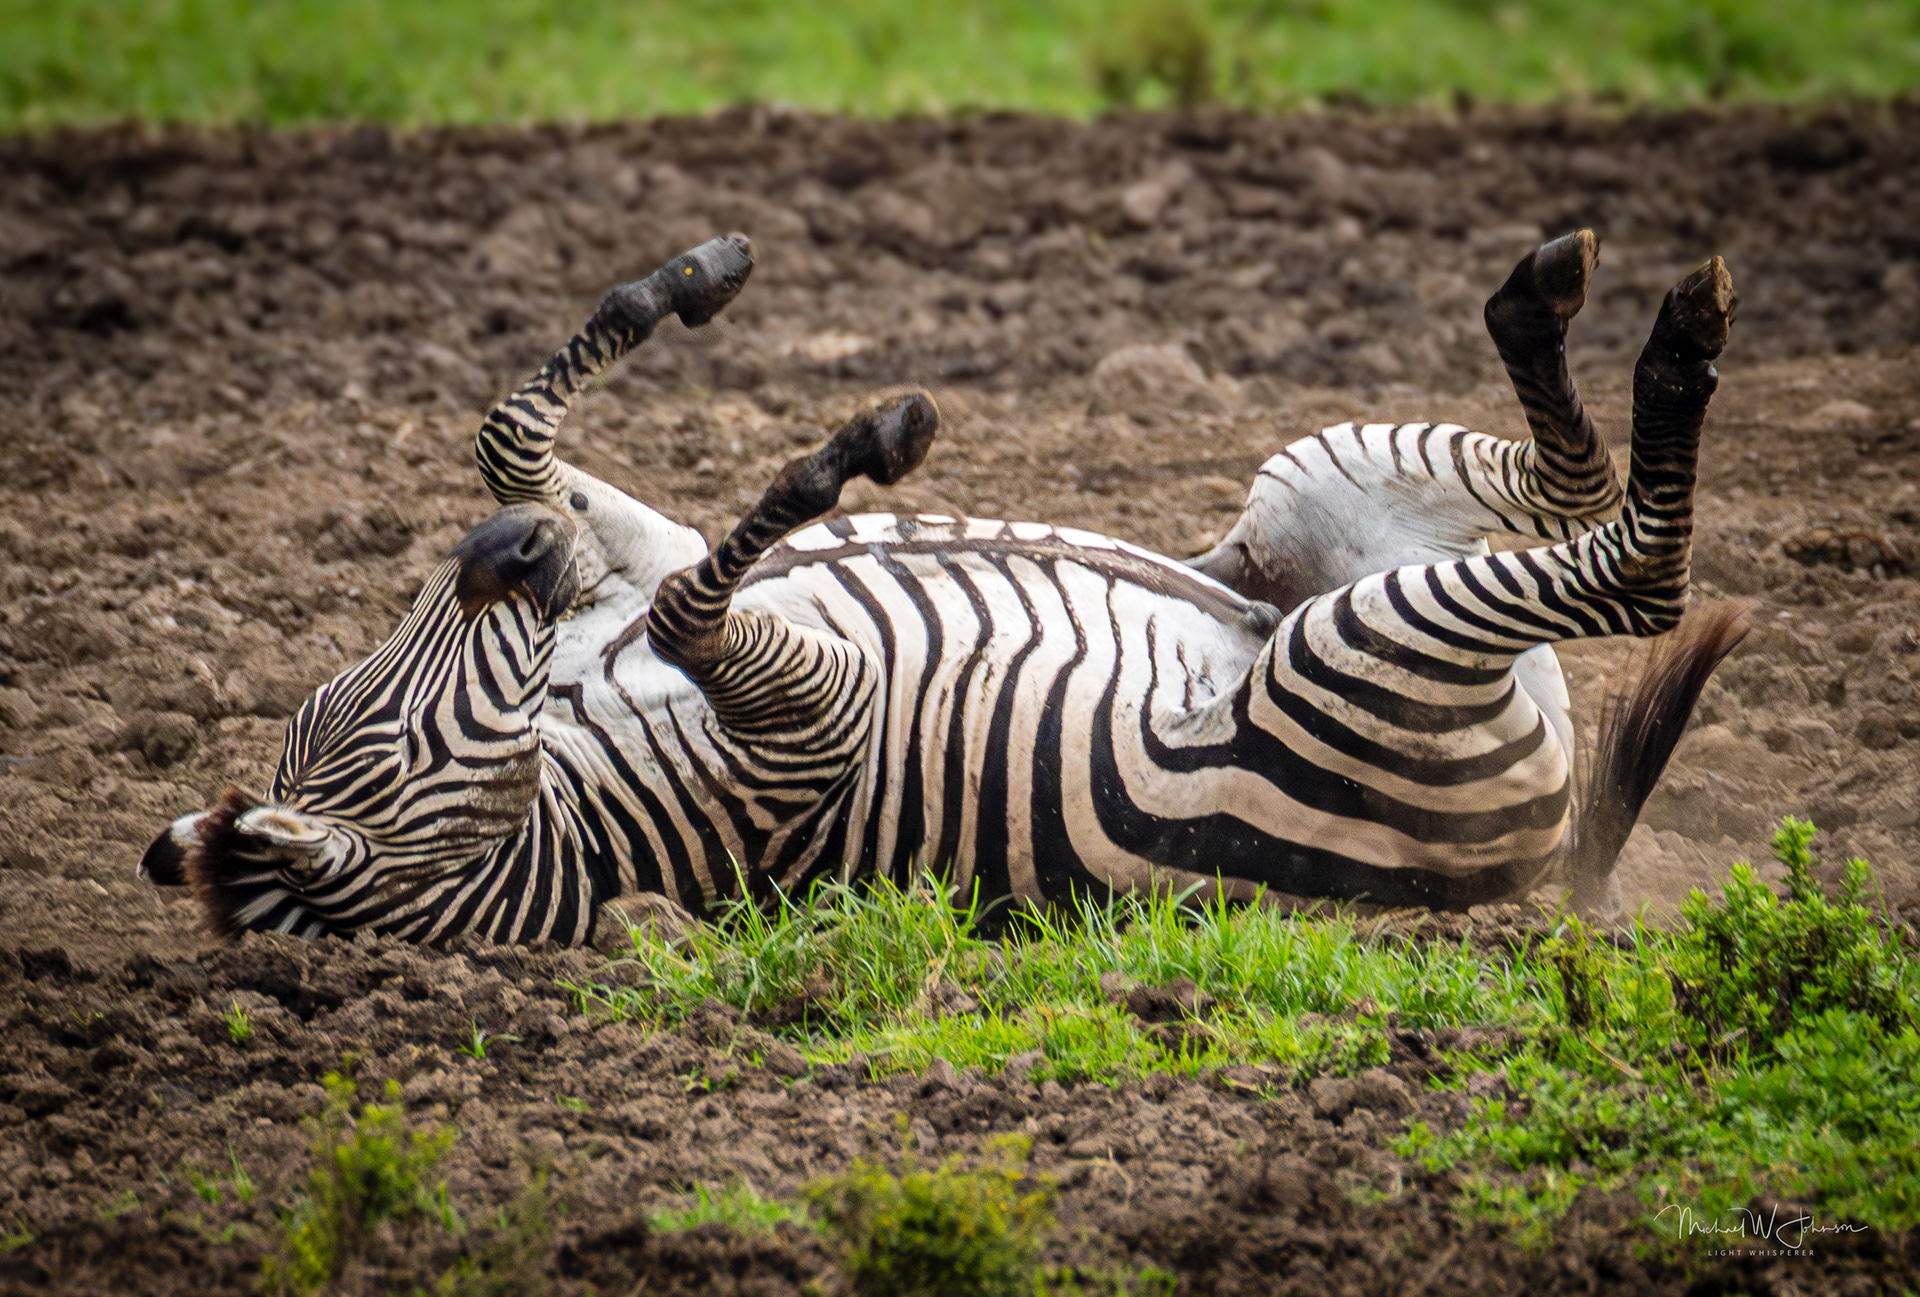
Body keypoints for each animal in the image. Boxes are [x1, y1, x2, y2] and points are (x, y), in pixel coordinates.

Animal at [139, 228, 1745, 944]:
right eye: (403, 744)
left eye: (347, 708)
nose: (501, 559)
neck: (568, 791)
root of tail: (1535, 862)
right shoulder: (811, 741)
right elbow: (688, 599)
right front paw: (835, 461)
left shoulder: (622, 560)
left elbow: (512, 434)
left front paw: (698, 281)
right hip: (1350, 661)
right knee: (1637, 573)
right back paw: (1670, 345)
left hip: (1306, 493)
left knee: (1570, 505)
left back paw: (1555, 300)